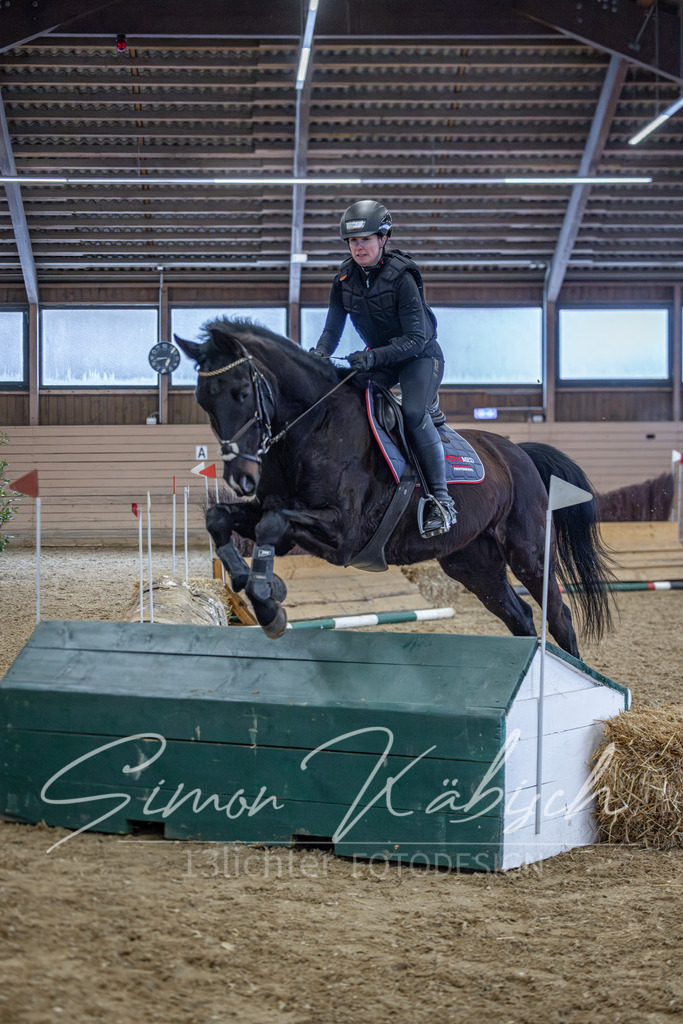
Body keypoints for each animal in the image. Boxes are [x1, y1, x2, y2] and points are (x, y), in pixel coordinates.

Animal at [174, 317, 615, 657]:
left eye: (242, 393)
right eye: (204, 402)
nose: (240, 477)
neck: (313, 425)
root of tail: (518, 453)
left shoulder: (344, 532)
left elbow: (271, 525)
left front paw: (269, 605)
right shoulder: (278, 514)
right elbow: (220, 518)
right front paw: (252, 585)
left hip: (529, 552)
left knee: (559, 615)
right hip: (473, 563)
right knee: (520, 617)